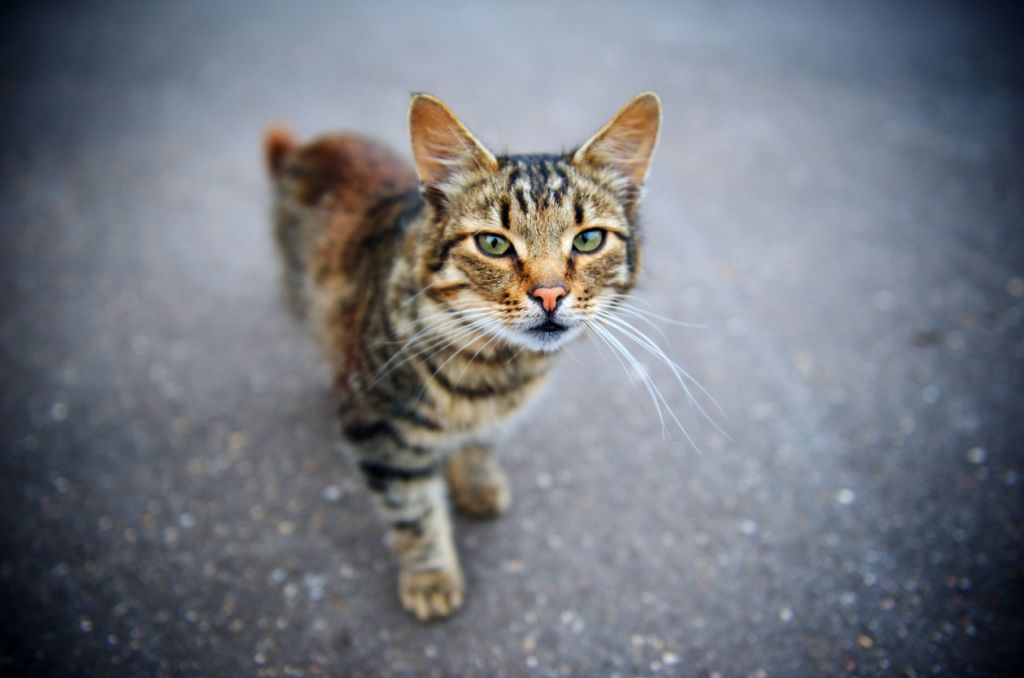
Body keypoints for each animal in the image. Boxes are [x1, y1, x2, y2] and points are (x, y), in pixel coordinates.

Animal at [264, 93, 659, 622]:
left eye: (588, 239)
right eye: (493, 243)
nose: (550, 295)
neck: (497, 371)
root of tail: (307, 145)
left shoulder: (494, 419)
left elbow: (479, 447)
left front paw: (476, 483)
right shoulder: (382, 435)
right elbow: (415, 514)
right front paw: (431, 579)